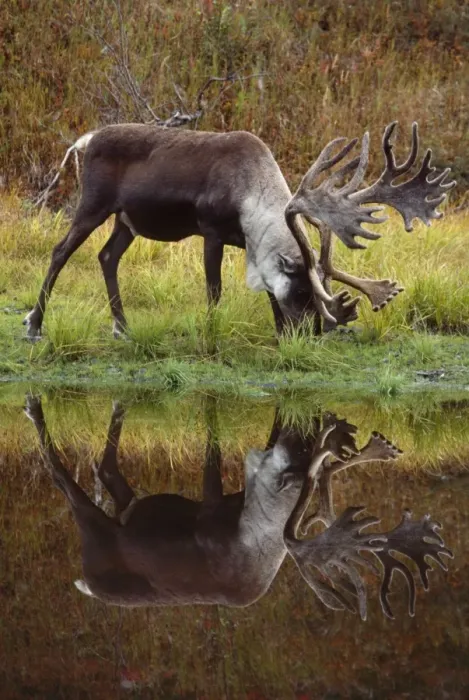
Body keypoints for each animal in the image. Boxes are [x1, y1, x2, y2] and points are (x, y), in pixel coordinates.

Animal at [24, 121, 454, 340]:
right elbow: (214, 289)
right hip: (93, 204)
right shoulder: (211, 231)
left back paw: (122, 327)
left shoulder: (249, 244)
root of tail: (86, 139)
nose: (310, 333)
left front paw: (279, 333)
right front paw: (213, 331)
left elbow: (266, 289)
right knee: (60, 251)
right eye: (303, 292)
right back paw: (34, 323)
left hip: (127, 220)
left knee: (107, 256)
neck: (251, 193)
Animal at [24, 394, 453, 618]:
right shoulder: (212, 516)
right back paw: (32, 408)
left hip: (126, 511)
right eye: (287, 474)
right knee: (65, 483)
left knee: (108, 471)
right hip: (93, 533)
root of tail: (89, 586)